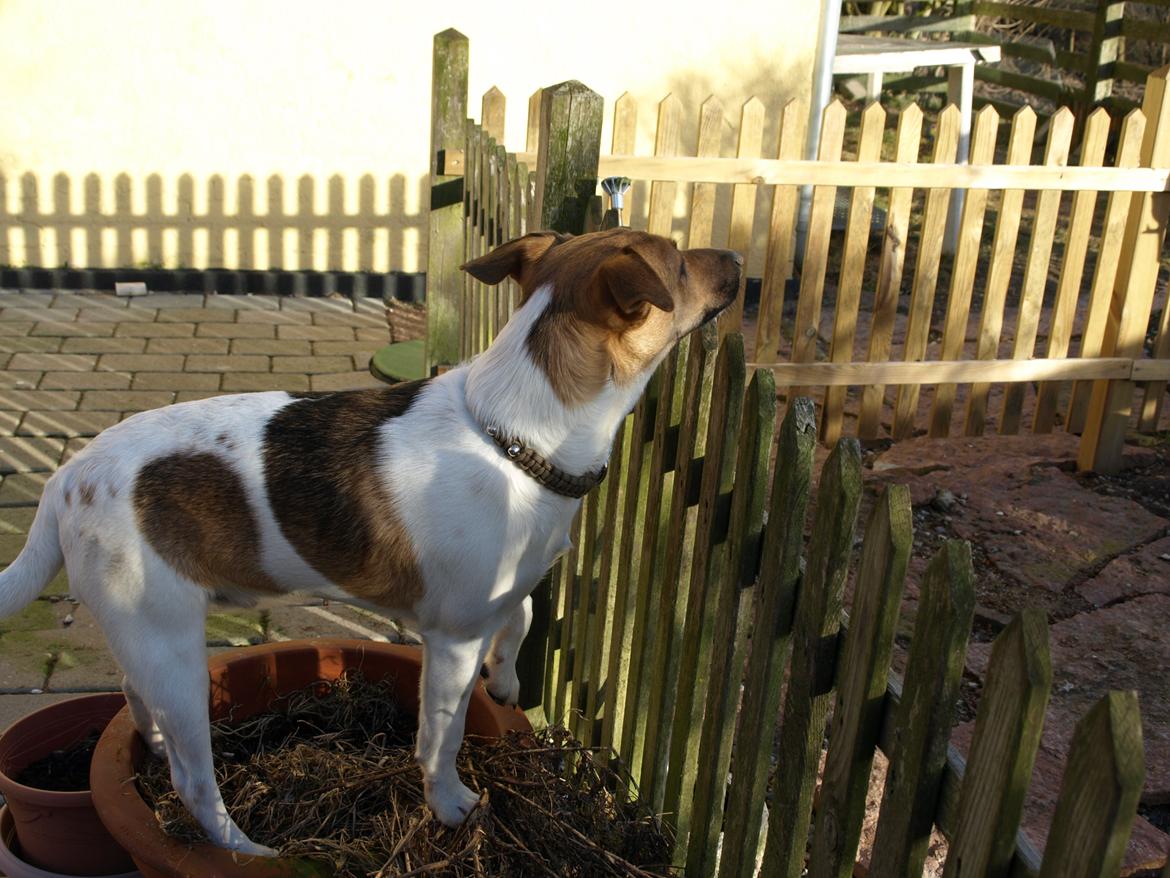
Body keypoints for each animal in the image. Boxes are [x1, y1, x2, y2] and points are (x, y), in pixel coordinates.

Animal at [0, 230, 739, 856]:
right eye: (677, 263)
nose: (734, 258)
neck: (513, 435)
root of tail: (64, 480)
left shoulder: (496, 595)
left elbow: (523, 612)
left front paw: (506, 679)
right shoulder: (452, 640)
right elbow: (441, 736)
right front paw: (451, 806)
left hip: (146, 641)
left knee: (135, 699)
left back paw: (153, 750)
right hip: (175, 654)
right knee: (193, 781)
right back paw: (250, 851)